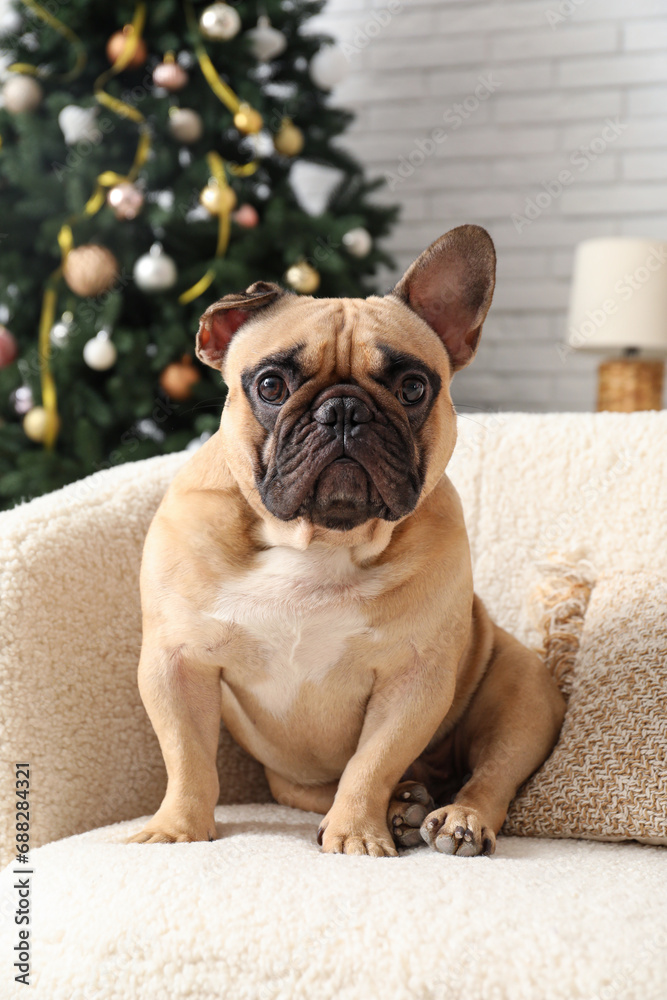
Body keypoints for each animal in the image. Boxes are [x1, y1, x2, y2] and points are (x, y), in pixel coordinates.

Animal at [132, 227, 568, 860]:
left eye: (413, 388)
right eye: (271, 385)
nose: (343, 409)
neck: (319, 542)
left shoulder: (413, 679)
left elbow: (372, 762)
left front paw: (357, 836)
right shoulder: (177, 663)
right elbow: (187, 756)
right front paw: (176, 829)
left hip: (523, 696)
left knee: (491, 774)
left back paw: (452, 818)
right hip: (290, 778)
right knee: (328, 786)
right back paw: (406, 807)